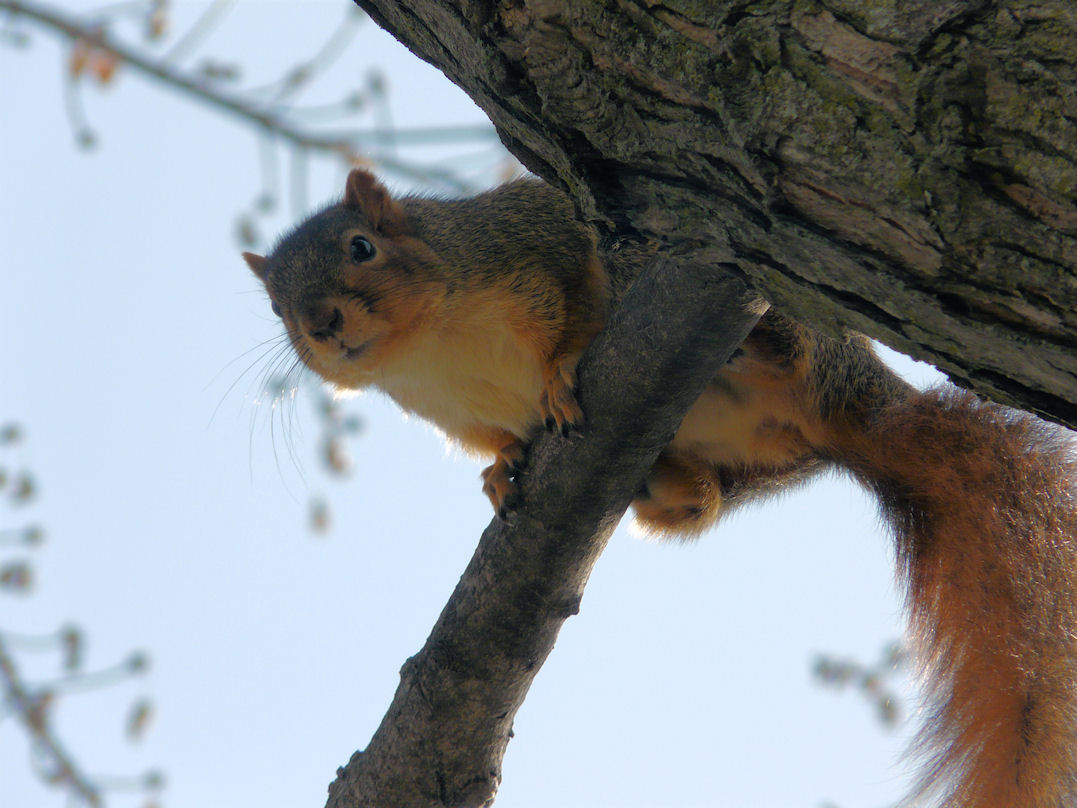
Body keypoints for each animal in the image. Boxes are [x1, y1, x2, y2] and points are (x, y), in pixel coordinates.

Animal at [244, 168, 1077, 805]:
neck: (433, 348)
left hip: (806, 342)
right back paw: (668, 487)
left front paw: (556, 379)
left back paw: (761, 343)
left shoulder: (538, 247)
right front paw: (498, 471)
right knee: (708, 497)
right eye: (277, 308)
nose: (319, 324)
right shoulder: (450, 411)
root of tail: (862, 406)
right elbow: (494, 442)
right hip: (755, 461)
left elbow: (575, 313)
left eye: (361, 247)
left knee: (789, 349)